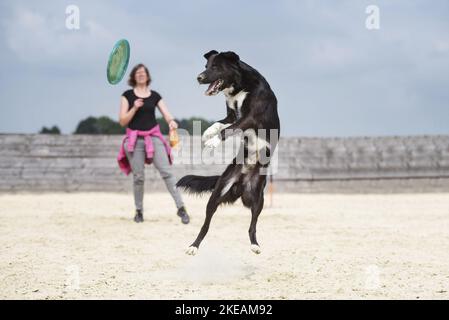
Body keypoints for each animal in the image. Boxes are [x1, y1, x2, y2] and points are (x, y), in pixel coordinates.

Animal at [176, 50, 278, 255]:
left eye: (215, 67)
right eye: (206, 66)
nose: (199, 77)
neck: (240, 87)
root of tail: (242, 182)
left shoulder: (250, 117)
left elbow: (228, 129)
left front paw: (213, 141)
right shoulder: (232, 115)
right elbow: (219, 123)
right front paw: (208, 133)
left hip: (259, 198)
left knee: (252, 226)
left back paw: (255, 245)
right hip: (217, 194)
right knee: (205, 226)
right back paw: (193, 246)